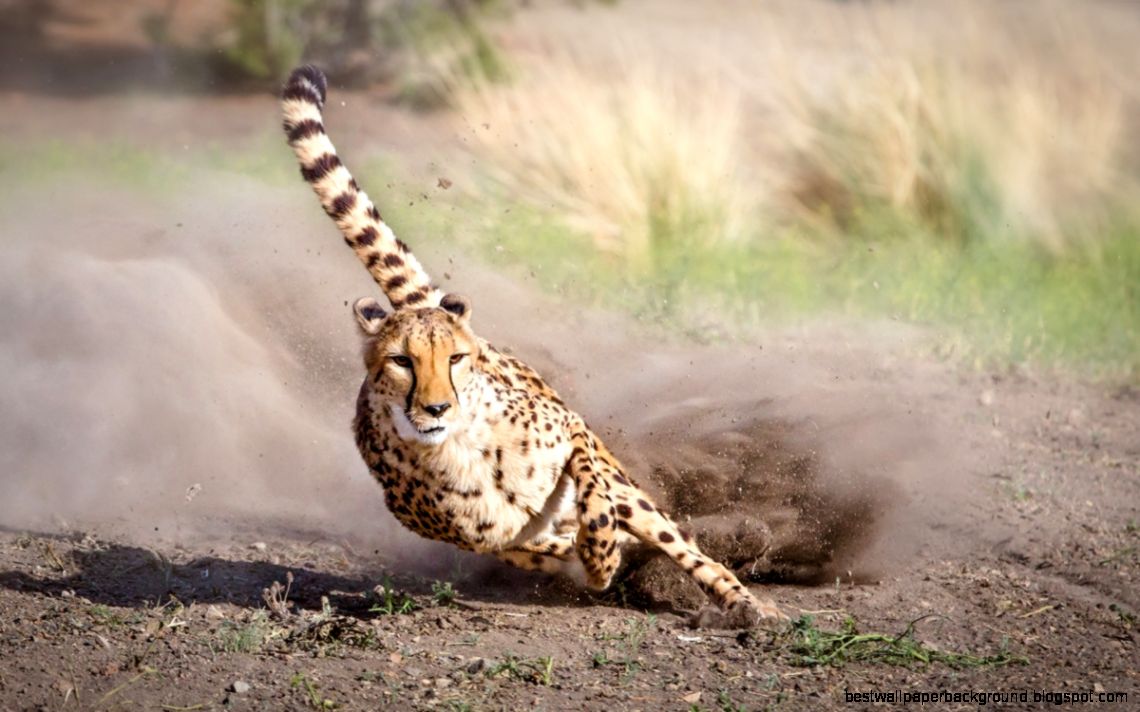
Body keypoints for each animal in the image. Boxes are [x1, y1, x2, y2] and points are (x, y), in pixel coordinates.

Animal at [281, 65, 785, 626]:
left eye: (455, 359)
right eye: (401, 362)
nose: (437, 407)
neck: (462, 448)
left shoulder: (572, 432)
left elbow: (593, 496)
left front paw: (603, 555)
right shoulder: (499, 539)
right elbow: (548, 544)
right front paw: (598, 561)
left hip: (628, 487)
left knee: (665, 533)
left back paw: (743, 602)